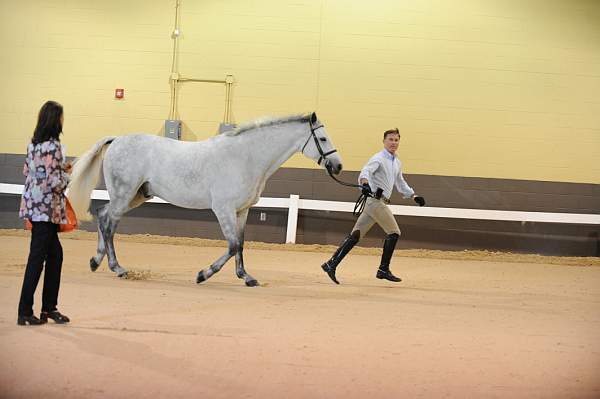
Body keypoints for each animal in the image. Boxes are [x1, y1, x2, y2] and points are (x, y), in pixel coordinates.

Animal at [67, 114, 342, 286]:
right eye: (323, 139)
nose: (338, 166)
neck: (246, 157)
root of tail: (116, 140)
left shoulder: (242, 211)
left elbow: (241, 245)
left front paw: (247, 277)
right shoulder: (223, 209)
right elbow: (232, 245)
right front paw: (203, 274)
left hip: (135, 196)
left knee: (103, 215)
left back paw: (96, 261)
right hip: (124, 194)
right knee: (109, 225)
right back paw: (117, 268)